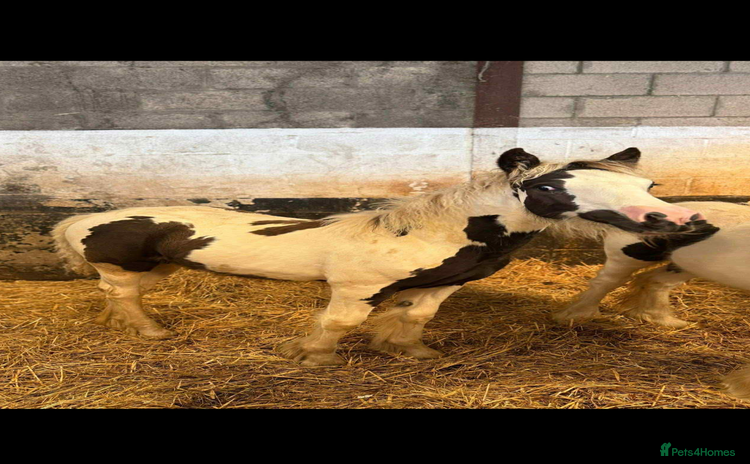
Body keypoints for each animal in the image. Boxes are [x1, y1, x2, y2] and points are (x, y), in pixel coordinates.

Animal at [52, 147, 710, 366]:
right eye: (553, 189)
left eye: (647, 185)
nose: (681, 224)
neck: (425, 233)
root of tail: (78, 219)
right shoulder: (354, 290)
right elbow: (337, 325)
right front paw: (312, 358)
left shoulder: (441, 285)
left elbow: (416, 317)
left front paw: (411, 352)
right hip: (125, 271)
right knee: (125, 297)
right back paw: (151, 333)